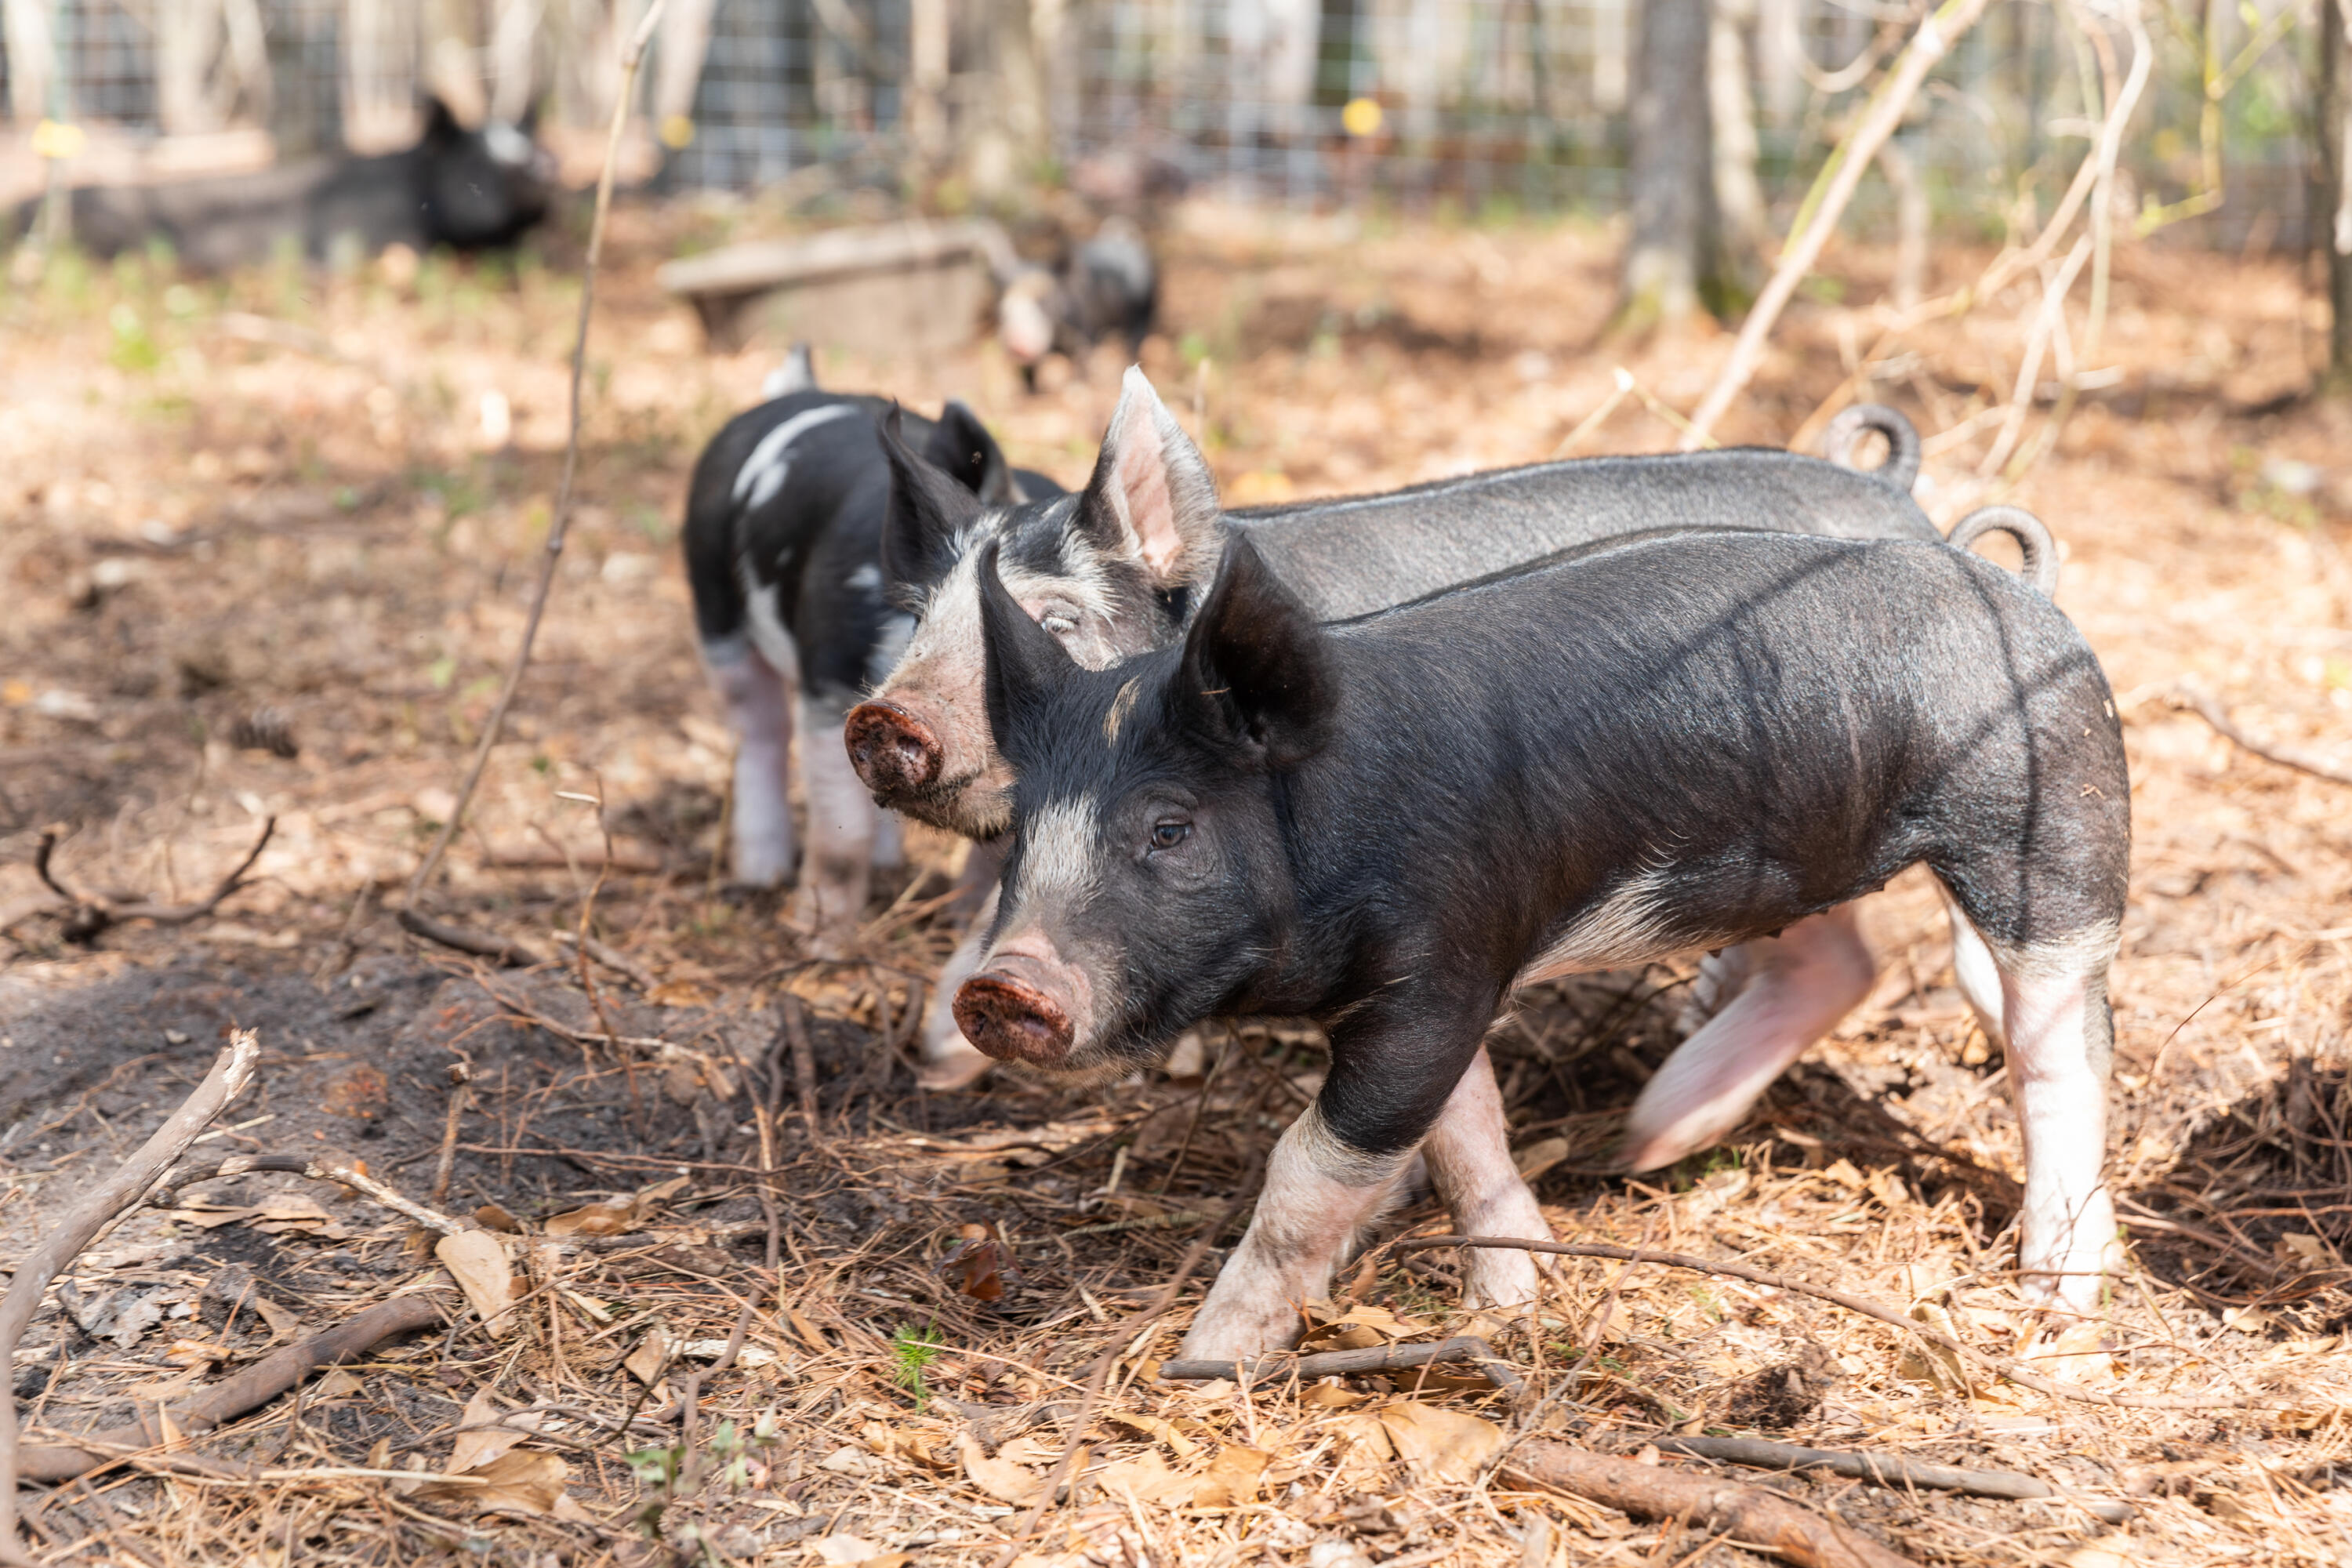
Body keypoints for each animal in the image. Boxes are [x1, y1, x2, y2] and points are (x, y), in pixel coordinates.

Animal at [683, 367, 1062, 949]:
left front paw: (960, 923)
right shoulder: (831, 676)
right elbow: (842, 831)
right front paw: (820, 942)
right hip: (715, 610)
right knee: (759, 732)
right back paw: (762, 875)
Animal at [956, 524, 2129, 1358]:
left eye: (1169, 828)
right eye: (1023, 830)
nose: (1002, 988)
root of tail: (2033, 597)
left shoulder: (1429, 976)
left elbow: (1309, 1172)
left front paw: (1204, 1362)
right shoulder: (1456, 975)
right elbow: (1467, 1129)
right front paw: (1519, 1298)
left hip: (2051, 839)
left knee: (2061, 1052)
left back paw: (2057, 1298)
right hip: (1803, 849)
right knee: (1842, 964)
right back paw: (1652, 1138)